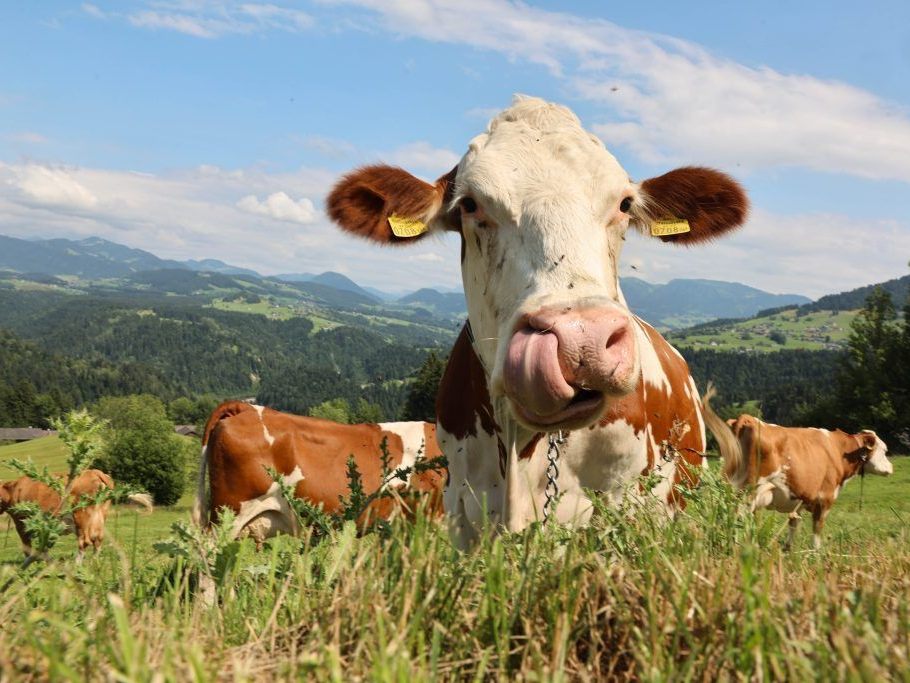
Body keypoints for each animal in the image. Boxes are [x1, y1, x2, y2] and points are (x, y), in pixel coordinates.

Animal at [0, 469, 153, 559]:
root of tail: (95, 472)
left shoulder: (21, 523)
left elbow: (28, 548)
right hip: (99, 515)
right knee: (98, 540)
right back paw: (94, 563)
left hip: (80, 514)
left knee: (84, 541)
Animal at [701, 390, 893, 549]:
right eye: (885, 450)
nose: (891, 468)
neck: (840, 451)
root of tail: (749, 419)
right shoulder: (825, 498)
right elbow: (817, 529)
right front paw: (816, 553)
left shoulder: (802, 498)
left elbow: (794, 524)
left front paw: (789, 549)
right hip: (748, 490)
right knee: (736, 515)